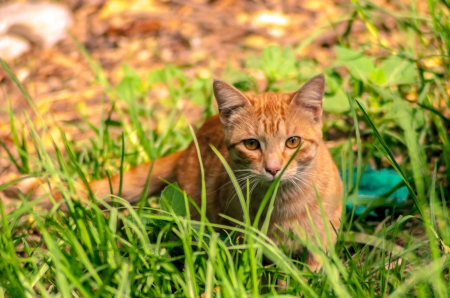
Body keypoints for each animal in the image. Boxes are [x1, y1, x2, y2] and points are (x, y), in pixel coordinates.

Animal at [2, 73, 342, 268]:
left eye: (293, 142)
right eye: (252, 144)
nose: (273, 169)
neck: (283, 204)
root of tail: (188, 146)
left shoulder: (322, 242)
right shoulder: (245, 241)